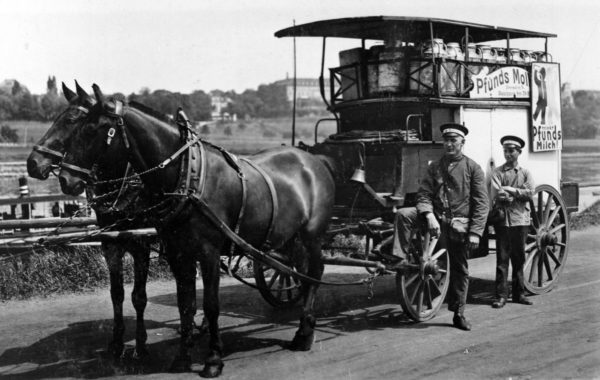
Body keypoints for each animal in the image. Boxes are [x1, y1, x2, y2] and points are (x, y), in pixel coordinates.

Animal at [27, 82, 156, 360]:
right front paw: (116, 342)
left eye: (72, 121)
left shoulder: (142, 245)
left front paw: (140, 344)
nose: (33, 163)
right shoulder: (110, 245)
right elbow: (117, 294)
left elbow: (139, 296)